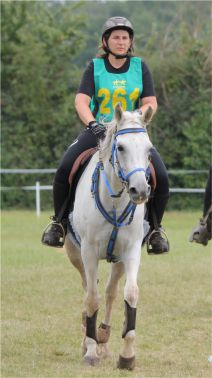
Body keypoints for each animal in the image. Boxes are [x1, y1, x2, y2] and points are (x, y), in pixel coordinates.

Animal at [64, 102, 152, 370]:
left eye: (149, 150)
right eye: (121, 147)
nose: (140, 190)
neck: (113, 200)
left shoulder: (131, 251)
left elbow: (130, 294)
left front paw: (127, 356)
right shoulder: (89, 252)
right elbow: (92, 298)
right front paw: (90, 351)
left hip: (118, 260)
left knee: (111, 292)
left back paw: (103, 337)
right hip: (75, 253)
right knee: (88, 288)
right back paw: (89, 340)